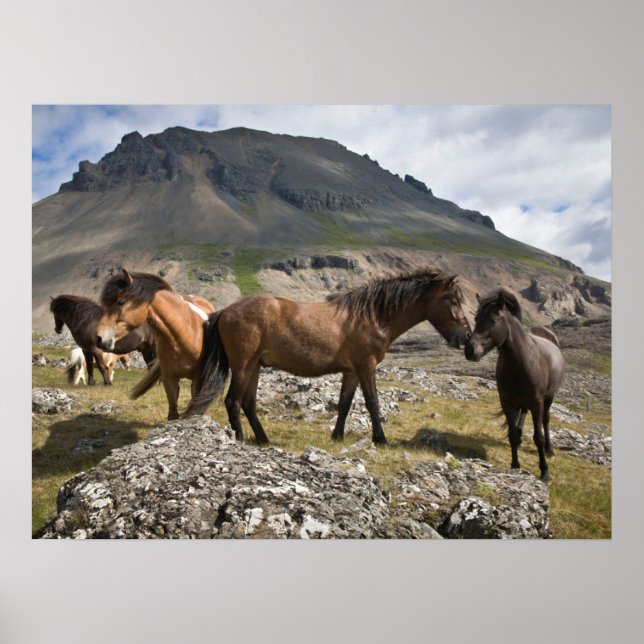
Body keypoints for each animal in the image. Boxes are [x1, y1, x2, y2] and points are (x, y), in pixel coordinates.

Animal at [95, 270, 216, 420]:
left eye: (120, 302)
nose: (98, 338)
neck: (183, 336)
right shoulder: (169, 379)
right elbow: (173, 414)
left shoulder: (198, 378)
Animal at [184, 268, 472, 445]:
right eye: (453, 300)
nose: (466, 337)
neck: (371, 317)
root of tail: (225, 311)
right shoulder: (366, 366)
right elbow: (372, 402)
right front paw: (380, 439)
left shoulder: (352, 371)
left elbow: (345, 404)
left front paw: (337, 436)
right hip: (243, 366)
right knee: (233, 402)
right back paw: (242, 440)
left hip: (255, 366)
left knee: (248, 404)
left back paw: (264, 440)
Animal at [464, 289, 564, 481]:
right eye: (476, 318)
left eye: (494, 319)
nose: (470, 350)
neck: (521, 362)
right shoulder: (507, 403)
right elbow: (511, 435)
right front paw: (515, 465)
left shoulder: (537, 403)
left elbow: (538, 437)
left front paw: (544, 471)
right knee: (522, 418)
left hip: (549, 398)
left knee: (546, 420)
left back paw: (549, 450)